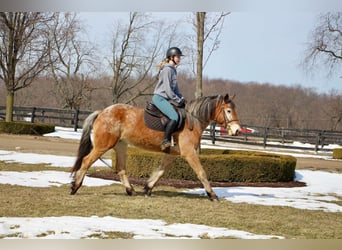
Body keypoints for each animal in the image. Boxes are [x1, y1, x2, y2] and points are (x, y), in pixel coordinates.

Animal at [69, 94, 240, 201]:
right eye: (228, 111)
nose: (237, 130)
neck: (192, 121)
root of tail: (102, 112)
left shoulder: (172, 153)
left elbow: (160, 171)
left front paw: (148, 188)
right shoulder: (189, 153)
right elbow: (201, 173)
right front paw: (212, 195)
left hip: (120, 146)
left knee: (121, 169)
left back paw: (131, 191)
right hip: (103, 145)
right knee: (86, 161)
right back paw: (75, 187)